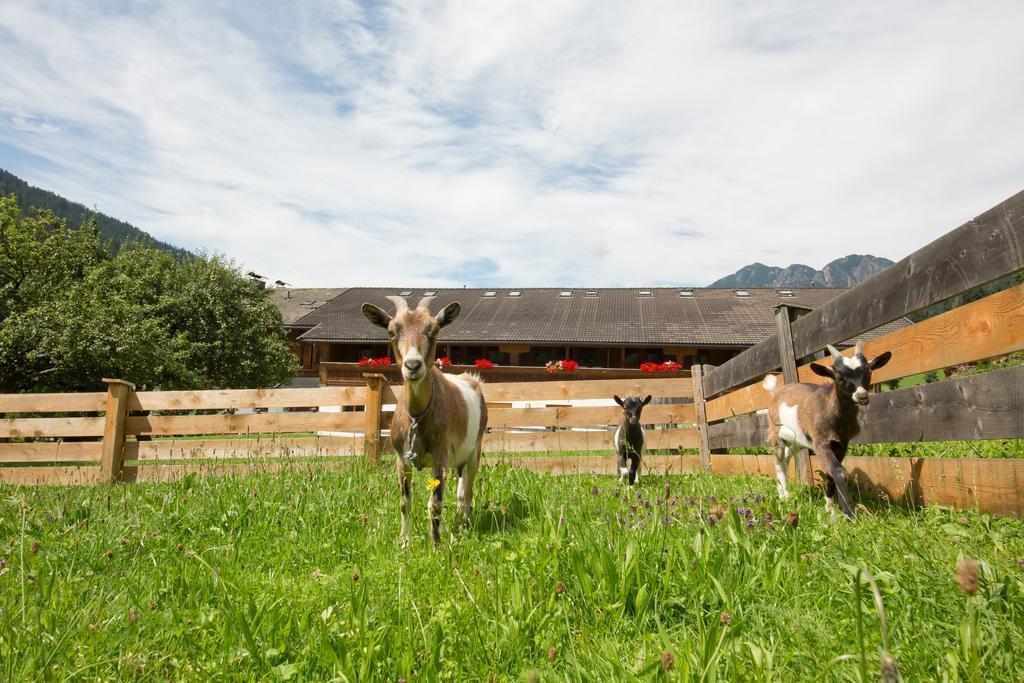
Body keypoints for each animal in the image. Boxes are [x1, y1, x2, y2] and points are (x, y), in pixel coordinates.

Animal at [360, 296, 487, 548]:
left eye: (434, 329)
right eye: (391, 331)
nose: (412, 366)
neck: (417, 415)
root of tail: (473, 380)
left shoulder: (440, 455)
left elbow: (435, 504)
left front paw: (436, 547)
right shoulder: (401, 458)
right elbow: (404, 503)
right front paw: (404, 543)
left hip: (474, 450)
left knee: (467, 491)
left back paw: (465, 526)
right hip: (458, 458)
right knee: (461, 491)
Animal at [765, 342, 892, 518]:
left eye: (869, 372)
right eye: (839, 377)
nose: (862, 396)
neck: (829, 408)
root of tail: (777, 391)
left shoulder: (841, 443)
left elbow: (831, 475)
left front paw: (829, 509)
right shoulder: (821, 442)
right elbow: (838, 471)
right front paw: (849, 512)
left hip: (797, 441)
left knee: (787, 458)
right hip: (776, 434)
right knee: (779, 461)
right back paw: (784, 497)